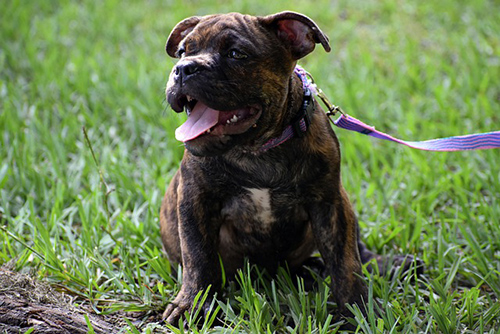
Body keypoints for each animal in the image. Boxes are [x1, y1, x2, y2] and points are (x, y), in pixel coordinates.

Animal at [158, 11, 420, 324]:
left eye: (236, 54)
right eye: (182, 52)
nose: (183, 69)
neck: (256, 149)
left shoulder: (330, 203)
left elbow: (346, 261)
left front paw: (358, 309)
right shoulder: (195, 199)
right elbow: (198, 255)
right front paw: (192, 304)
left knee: (358, 250)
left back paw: (386, 264)